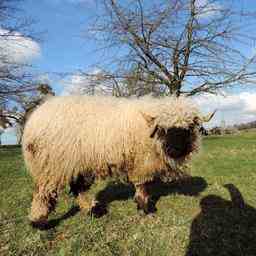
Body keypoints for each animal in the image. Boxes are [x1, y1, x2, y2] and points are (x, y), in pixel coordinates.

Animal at [22, 95, 214, 226]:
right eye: (163, 129)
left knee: (78, 189)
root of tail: (32, 122)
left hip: (74, 164)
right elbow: (142, 186)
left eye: (188, 129)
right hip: (52, 164)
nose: (175, 150)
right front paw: (144, 208)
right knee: (43, 191)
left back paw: (92, 210)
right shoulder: (140, 163)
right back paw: (38, 220)